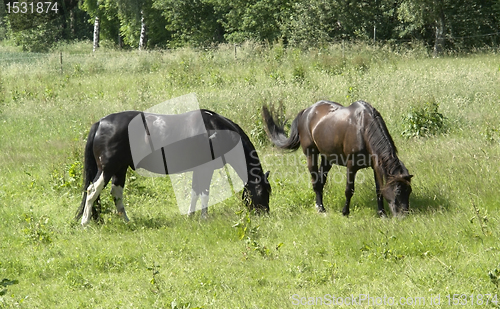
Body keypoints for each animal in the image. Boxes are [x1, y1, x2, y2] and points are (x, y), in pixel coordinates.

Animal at [76, 109, 272, 225]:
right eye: (262, 193)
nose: (265, 215)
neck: (214, 129)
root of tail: (101, 123)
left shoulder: (198, 169)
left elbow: (195, 192)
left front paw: (191, 216)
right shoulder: (205, 169)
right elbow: (205, 193)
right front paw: (204, 218)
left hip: (120, 169)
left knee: (116, 193)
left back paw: (126, 221)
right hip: (107, 169)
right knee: (92, 191)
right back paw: (85, 223)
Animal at [264, 100, 412, 215]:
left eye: (409, 191)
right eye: (398, 190)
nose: (404, 215)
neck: (363, 130)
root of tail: (306, 111)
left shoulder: (376, 166)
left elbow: (379, 190)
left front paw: (382, 213)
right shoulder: (351, 166)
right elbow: (349, 189)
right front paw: (345, 212)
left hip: (327, 157)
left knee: (321, 181)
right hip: (311, 154)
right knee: (315, 181)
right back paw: (320, 208)